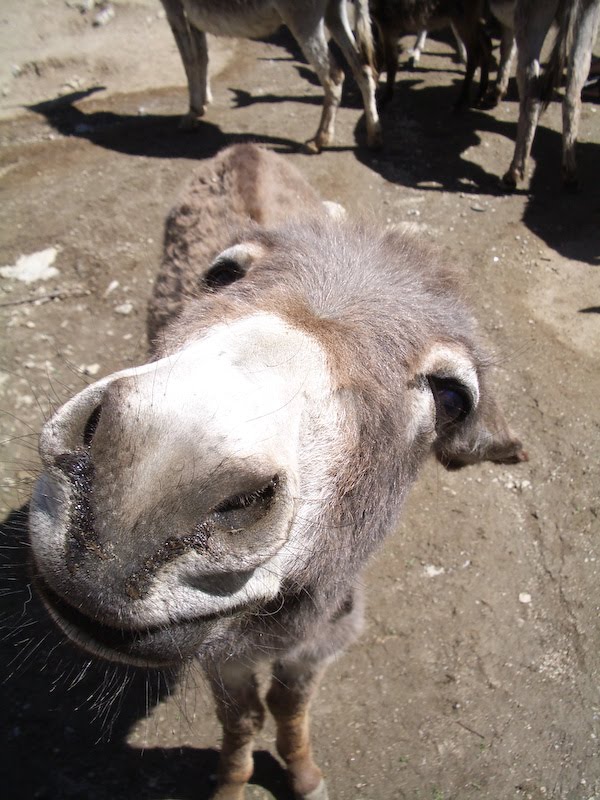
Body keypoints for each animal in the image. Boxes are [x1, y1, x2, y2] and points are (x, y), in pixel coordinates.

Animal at [28, 144, 526, 800]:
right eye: (222, 276)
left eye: (450, 397)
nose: (147, 478)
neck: (273, 628)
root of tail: (248, 148)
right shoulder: (223, 654)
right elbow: (242, 716)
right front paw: (233, 784)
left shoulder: (324, 637)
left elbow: (290, 705)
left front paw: (304, 773)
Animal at [159, 0, 382, 151]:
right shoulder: (192, 17)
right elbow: (202, 58)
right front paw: (204, 102)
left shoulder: (174, 8)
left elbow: (189, 61)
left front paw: (192, 113)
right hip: (333, 13)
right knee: (362, 68)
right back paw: (373, 135)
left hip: (303, 18)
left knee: (333, 75)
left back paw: (320, 139)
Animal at [502, 0, 600, 189]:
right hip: (587, 11)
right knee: (573, 88)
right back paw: (569, 172)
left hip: (532, 12)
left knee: (530, 90)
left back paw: (515, 171)